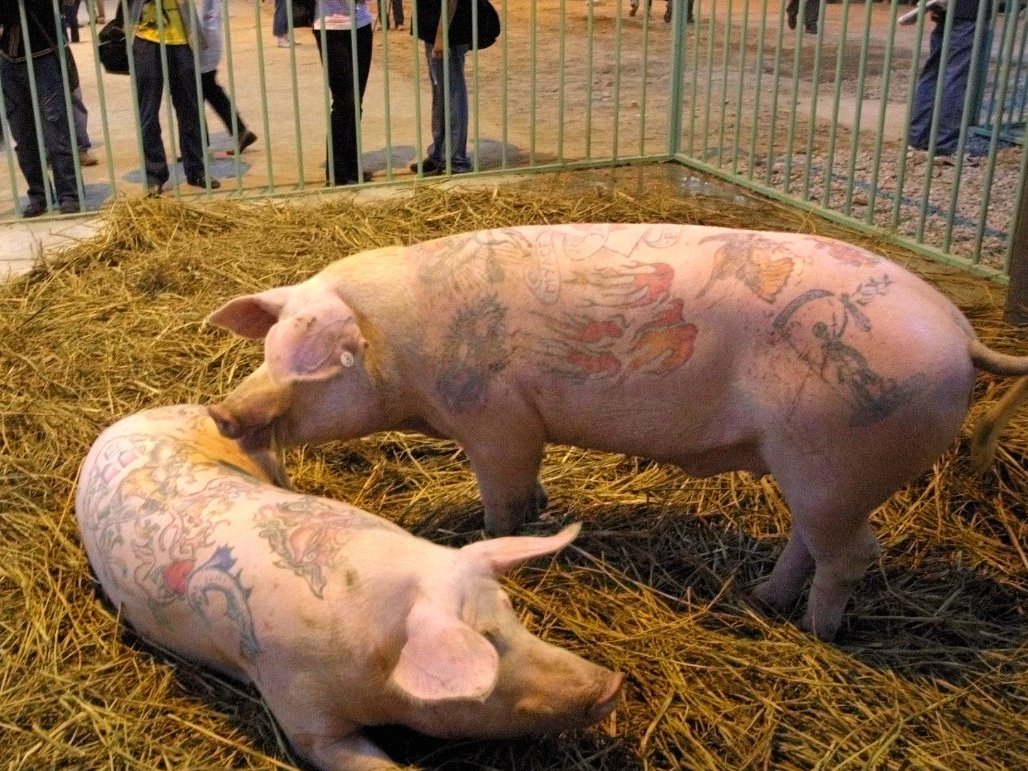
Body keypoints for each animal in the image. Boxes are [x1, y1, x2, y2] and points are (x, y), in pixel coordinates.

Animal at [205, 223, 1028, 641]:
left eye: (313, 365)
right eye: (269, 348)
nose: (222, 412)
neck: (406, 357)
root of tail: (960, 334)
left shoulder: (498, 419)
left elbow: (502, 499)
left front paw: (500, 537)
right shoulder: (519, 426)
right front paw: (541, 510)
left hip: (837, 463)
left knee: (856, 553)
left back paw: (817, 634)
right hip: (814, 475)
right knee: (814, 542)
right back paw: (763, 598)